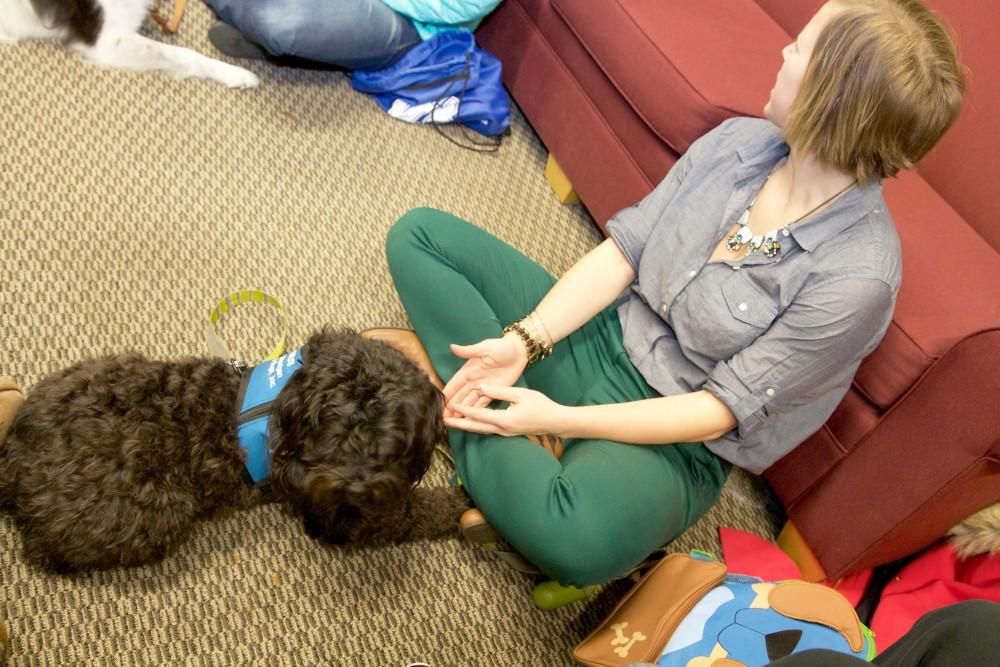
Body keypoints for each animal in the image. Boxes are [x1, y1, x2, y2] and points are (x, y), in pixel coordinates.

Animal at [0, 330, 468, 576]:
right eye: (333, 437)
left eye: (389, 445)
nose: (353, 487)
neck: (287, 396)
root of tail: (12, 460)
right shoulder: (333, 513)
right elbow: (413, 513)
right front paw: (461, 503)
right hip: (155, 512)